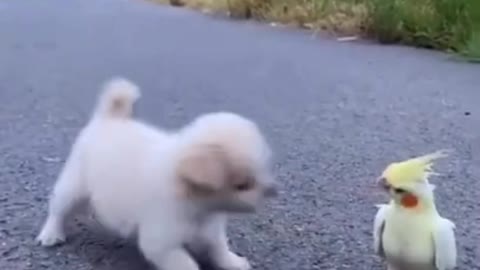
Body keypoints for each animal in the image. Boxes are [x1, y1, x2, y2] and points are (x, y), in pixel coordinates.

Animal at [36, 77, 278, 270]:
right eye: (243, 185)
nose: (272, 191)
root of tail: (109, 119)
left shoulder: (210, 229)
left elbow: (219, 248)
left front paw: (233, 262)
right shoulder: (162, 242)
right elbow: (186, 264)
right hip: (74, 184)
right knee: (58, 209)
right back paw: (51, 234)